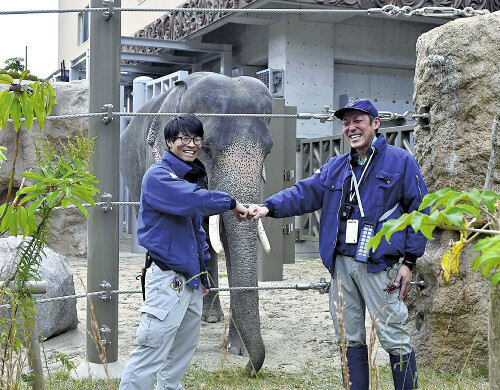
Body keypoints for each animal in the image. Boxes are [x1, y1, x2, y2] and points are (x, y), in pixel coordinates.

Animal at [121, 71, 276, 374]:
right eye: (207, 149)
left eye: (268, 150)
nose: (249, 369)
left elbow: (226, 238)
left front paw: (236, 349)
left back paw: (211, 317)